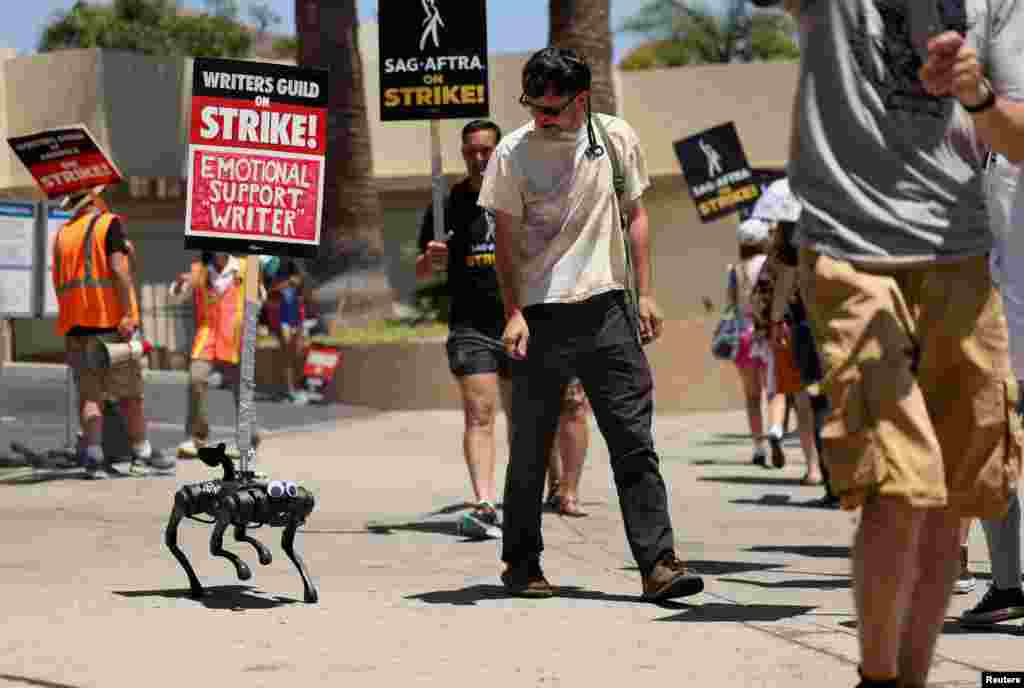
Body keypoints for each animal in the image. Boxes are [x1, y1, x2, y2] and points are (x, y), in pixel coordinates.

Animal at [163, 440, 317, 602]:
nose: (200, 451)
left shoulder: (291, 518)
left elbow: (288, 548)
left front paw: (309, 590)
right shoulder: (227, 510)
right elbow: (215, 547)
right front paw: (243, 569)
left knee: (237, 536)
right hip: (186, 503)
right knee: (172, 540)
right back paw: (197, 587)